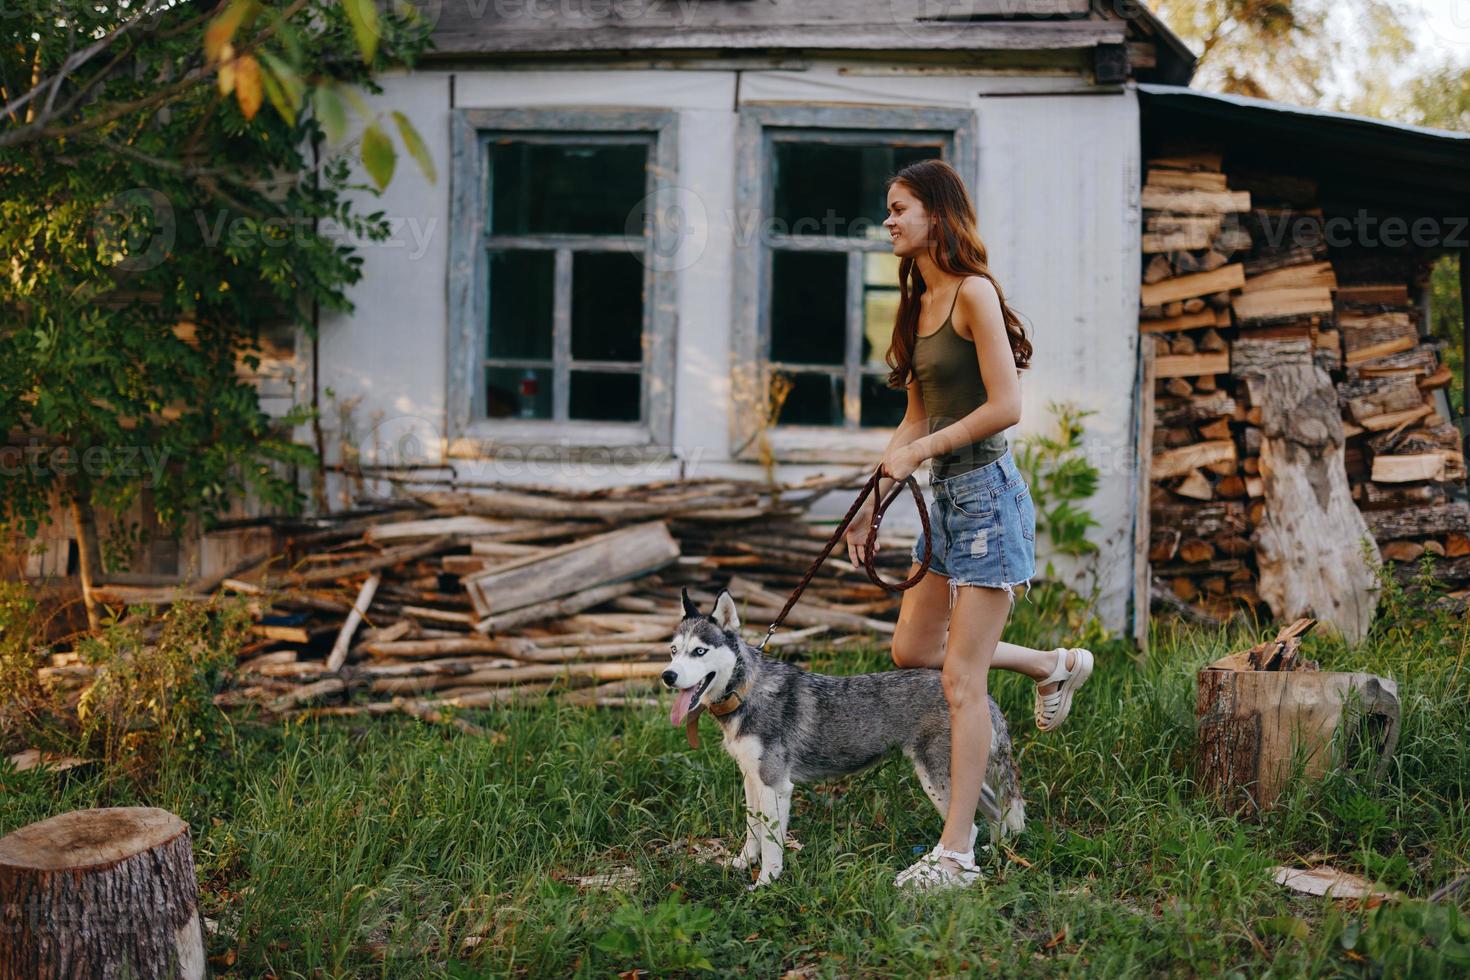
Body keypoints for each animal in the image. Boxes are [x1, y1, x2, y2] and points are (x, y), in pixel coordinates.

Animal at [667, 590, 1023, 887]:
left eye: (699, 651)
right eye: (673, 650)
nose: (667, 676)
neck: (748, 690)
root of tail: (983, 696)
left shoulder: (775, 785)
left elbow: (771, 844)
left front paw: (766, 884)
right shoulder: (752, 779)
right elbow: (753, 830)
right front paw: (742, 864)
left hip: (935, 778)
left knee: (974, 823)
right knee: (995, 809)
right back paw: (998, 853)